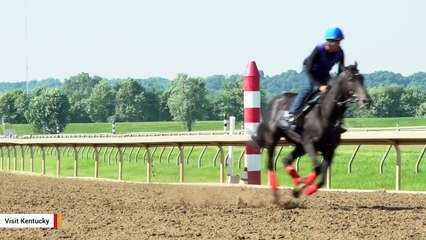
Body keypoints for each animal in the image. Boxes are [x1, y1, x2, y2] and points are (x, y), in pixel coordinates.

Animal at [253, 63, 370, 199]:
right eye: (351, 79)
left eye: (362, 78)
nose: (366, 101)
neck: (325, 115)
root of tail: (273, 102)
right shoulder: (309, 143)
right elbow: (317, 168)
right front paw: (304, 186)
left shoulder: (329, 150)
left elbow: (322, 177)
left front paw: (302, 188)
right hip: (273, 139)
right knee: (270, 164)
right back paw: (277, 193)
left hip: (300, 145)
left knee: (286, 160)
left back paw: (297, 182)